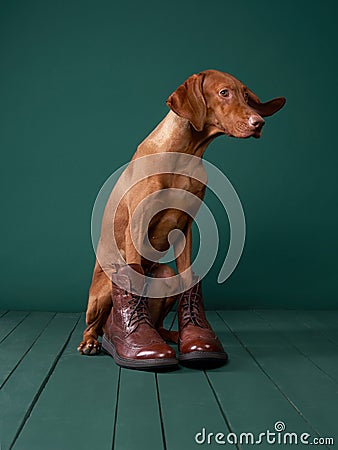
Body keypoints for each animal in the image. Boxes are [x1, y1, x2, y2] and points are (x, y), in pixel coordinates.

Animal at [77, 70, 286, 360]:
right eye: (224, 93)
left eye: (246, 96)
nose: (259, 123)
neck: (185, 154)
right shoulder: (137, 224)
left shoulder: (185, 227)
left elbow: (187, 275)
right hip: (104, 289)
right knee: (95, 324)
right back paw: (92, 341)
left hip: (165, 275)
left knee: (157, 324)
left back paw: (170, 335)